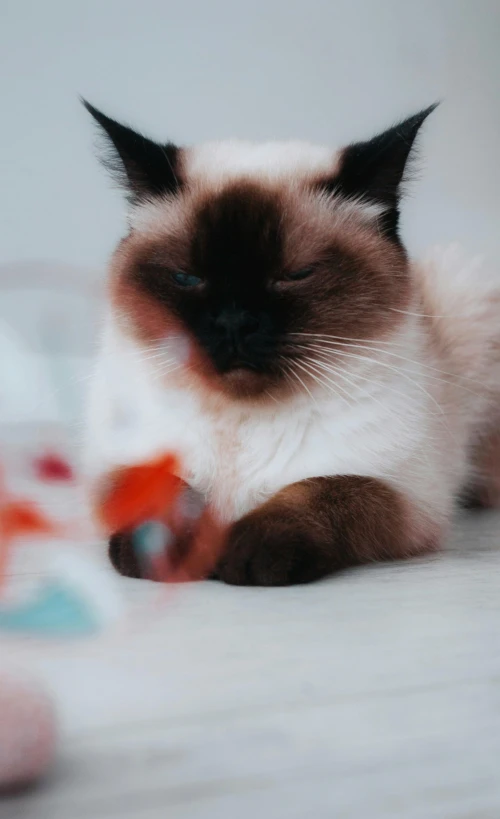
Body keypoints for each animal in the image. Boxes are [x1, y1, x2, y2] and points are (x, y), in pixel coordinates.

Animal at [82, 102, 500, 588]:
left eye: (295, 275)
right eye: (187, 277)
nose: (233, 323)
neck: (241, 421)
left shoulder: (405, 494)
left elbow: (324, 490)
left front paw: (247, 553)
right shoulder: (118, 467)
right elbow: (161, 494)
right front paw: (169, 554)